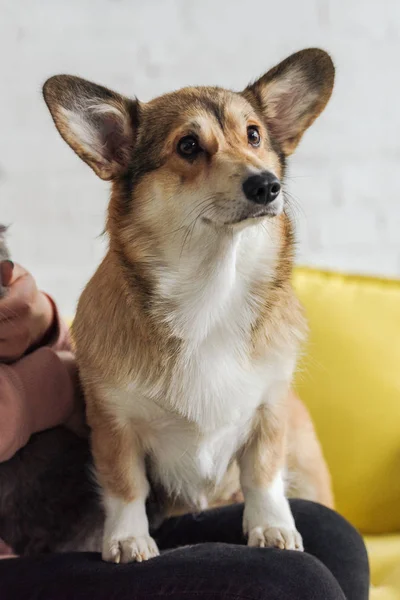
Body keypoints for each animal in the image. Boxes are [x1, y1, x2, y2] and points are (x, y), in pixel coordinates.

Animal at [43, 47, 334, 564]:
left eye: (254, 135)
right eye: (188, 146)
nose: (267, 186)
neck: (211, 292)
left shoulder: (269, 411)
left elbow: (262, 474)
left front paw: (272, 527)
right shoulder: (114, 424)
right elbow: (126, 486)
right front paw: (128, 539)